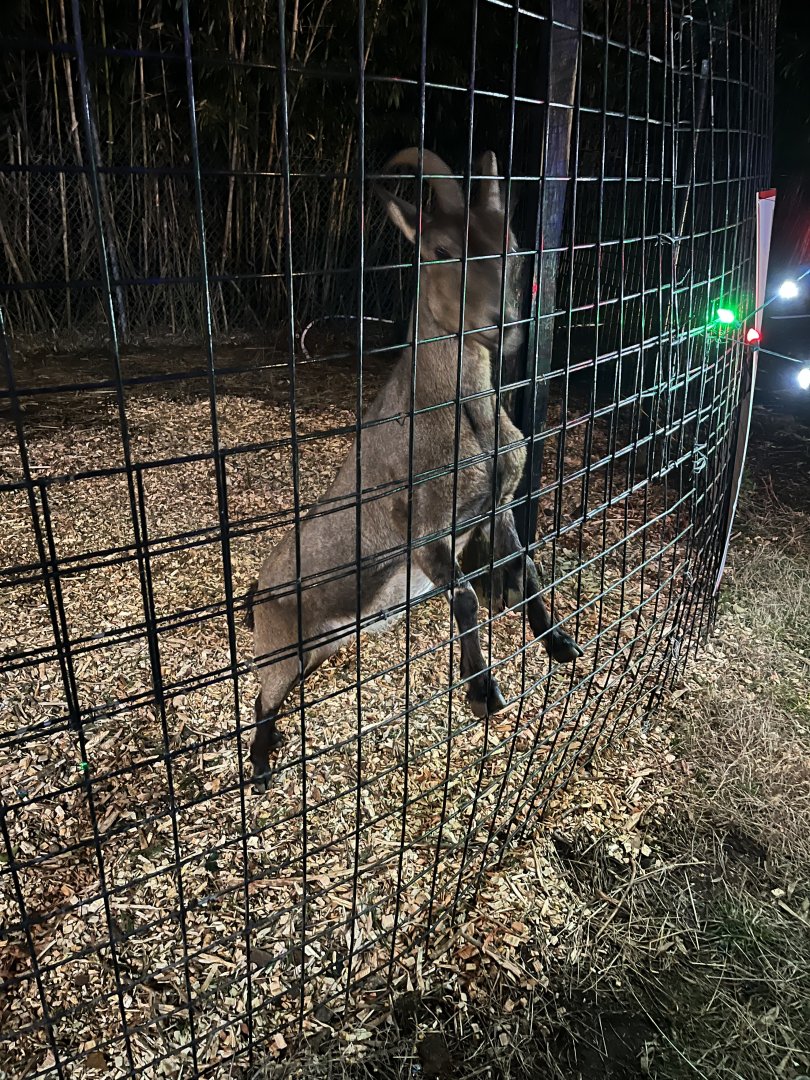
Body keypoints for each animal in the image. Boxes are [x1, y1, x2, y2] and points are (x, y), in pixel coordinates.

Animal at [247, 148, 582, 790]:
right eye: (443, 249)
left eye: (512, 245)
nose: (503, 326)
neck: (463, 416)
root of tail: (256, 594)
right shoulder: (424, 529)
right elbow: (467, 597)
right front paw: (482, 692)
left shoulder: (495, 506)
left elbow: (526, 568)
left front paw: (560, 644)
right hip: (281, 646)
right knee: (259, 700)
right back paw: (260, 767)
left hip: (319, 647)